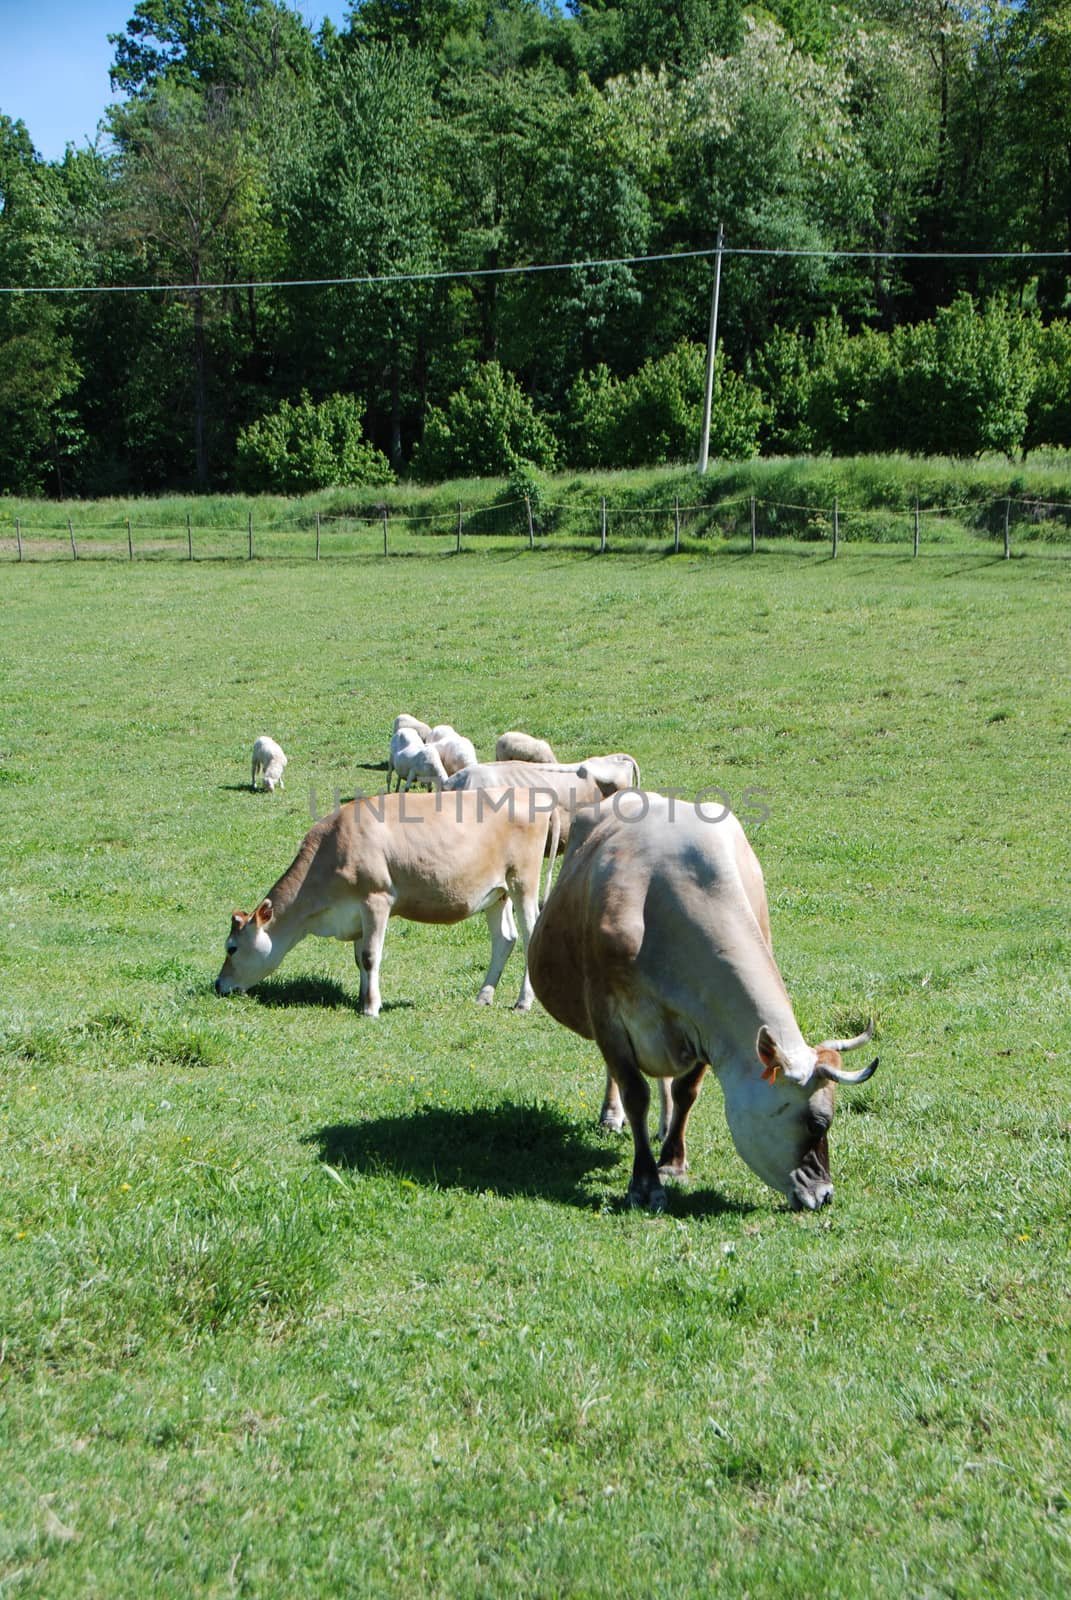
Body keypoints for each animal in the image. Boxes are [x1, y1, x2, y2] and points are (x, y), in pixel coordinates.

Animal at [216, 787, 550, 1011]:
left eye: (232, 948)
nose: (218, 985)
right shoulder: (354, 914)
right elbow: (359, 959)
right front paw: (361, 998)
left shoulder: (376, 900)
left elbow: (370, 955)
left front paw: (370, 1007)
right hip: (497, 892)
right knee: (504, 939)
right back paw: (484, 996)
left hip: (522, 881)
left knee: (530, 935)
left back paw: (523, 1002)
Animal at [528, 793, 877, 1216]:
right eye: (817, 1123)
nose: (825, 1195)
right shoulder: (608, 1016)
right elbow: (634, 1093)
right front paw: (645, 1182)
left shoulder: (705, 1027)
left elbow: (686, 1092)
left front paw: (672, 1161)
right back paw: (612, 1116)